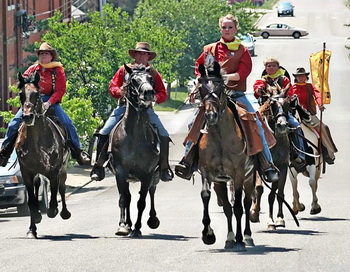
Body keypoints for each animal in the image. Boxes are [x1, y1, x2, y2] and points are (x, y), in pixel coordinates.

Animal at [16, 71, 71, 238]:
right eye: (21, 94)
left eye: (36, 93)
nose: (27, 116)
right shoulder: (27, 172)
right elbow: (31, 201)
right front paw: (35, 219)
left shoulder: (54, 171)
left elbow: (54, 194)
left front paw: (53, 210)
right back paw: (32, 228)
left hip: (63, 168)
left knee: (62, 187)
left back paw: (64, 212)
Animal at [108, 63, 161, 238]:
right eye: (133, 80)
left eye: (151, 78)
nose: (149, 92)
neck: (135, 137)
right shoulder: (120, 172)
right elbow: (123, 199)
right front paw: (123, 226)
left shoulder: (148, 174)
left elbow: (142, 202)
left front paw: (137, 228)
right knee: (128, 197)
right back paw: (128, 224)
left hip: (154, 176)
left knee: (151, 192)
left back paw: (152, 220)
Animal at [197, 61, 254, 251]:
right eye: (201, 89)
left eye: (220, 88)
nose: (211, 115)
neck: (220, 137)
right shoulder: (208, 172)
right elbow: (206, 196)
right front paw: (208, 234)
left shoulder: (239, 174)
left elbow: (238, 207)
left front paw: (240, 240)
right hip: (220, 182)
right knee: (228, 208)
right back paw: (229, 239)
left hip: (249, 177)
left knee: (246, 203)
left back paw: (247, 236)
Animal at [250, 91, 292, 230]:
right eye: (273, 104)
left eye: (287, 103)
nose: (282, 125)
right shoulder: (259, 167)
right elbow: (258, 189)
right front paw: (254, 213)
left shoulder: (282, 168)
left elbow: (277, 194)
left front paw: (277, 220)